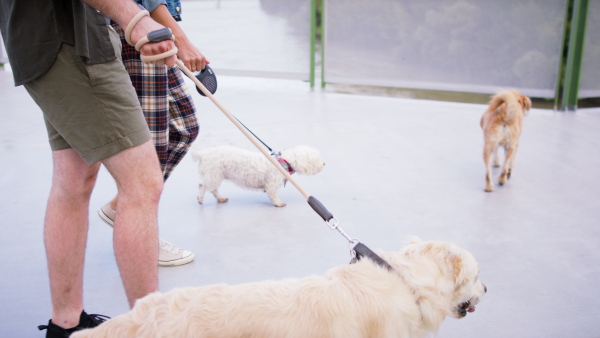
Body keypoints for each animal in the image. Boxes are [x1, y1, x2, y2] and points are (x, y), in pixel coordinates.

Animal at [191, 145, 324, 206]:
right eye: (316, 159)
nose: (324, 163)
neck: (283, 162)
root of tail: (203, 154)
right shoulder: (271, 185)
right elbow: (273, 194)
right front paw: (278, 203)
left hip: (214, 175)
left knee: (212, 189)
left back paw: (220, 198)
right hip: (213, 174)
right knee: (202, 186)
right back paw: (200, 198)